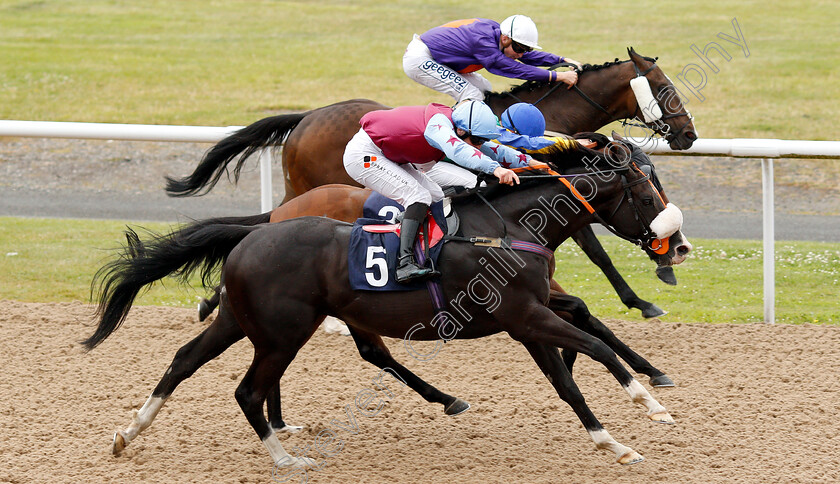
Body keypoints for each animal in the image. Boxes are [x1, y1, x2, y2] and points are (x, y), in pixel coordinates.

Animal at [87, 143, 688, 466]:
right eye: (645, 192)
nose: (679, 246)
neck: (508, 228)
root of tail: (253, 235)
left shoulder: (527, 322)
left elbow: (567, 382)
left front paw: (613, 444)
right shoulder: (525, 316)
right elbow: (593, 347)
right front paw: (651, 406)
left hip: (242, 319)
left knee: (184, 360)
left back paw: (128, 433)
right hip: (283, 332)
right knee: (249, 390)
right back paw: (286, 457)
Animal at [164, 48, 696, 318]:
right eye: (666, 89)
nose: (688, 134)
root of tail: (305, 118)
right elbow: (596, 247)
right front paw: (645, 295)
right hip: (313, 184)